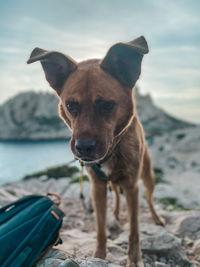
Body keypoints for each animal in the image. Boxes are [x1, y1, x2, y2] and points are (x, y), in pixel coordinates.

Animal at [27, 36, 165, 267]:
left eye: (107, 105)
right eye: (70, 105)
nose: (83, 148)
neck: (114, 149)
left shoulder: (132, 186)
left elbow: (134, 230)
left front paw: (134, 259)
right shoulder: (97, 187)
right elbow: (100, 228)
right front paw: (99, 255)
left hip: (148, 177)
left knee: (150, 198)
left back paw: (156, 218)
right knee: (116, 195)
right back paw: (116, 213)